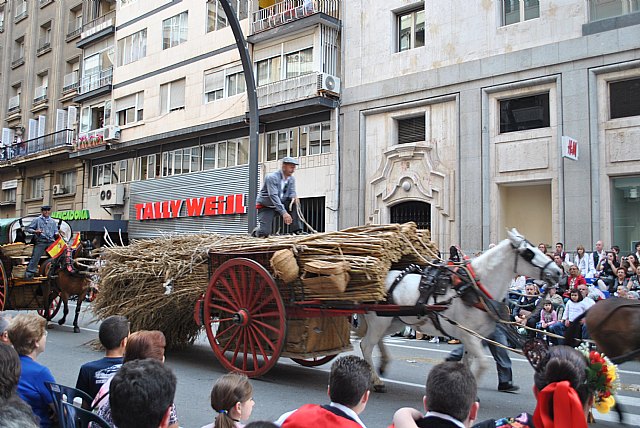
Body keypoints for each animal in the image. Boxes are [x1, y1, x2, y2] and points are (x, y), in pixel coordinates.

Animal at [358, 229, 564, 392]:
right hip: (379, 321)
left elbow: (468, 363)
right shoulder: (470, 336)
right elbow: (483, 364)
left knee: (378, 341)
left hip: (395, 320)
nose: (558, 272)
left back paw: (383, 364)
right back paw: (377, 380)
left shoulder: (474, 337)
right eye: (528, 252)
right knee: (366, 345)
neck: (473, 288)